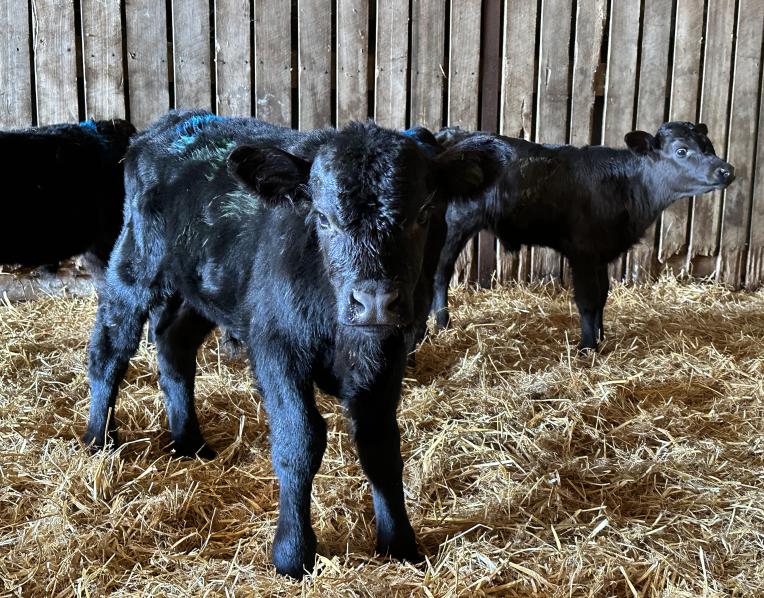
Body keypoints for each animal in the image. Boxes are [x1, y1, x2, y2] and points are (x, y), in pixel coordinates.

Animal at [82, 110, 504, 577]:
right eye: (322, 218)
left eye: (424, 212)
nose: (374, 301)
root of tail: (171, 123)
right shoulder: (276, 346)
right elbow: (299, 441)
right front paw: (293, 553)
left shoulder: (388, 355)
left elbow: (380, 444)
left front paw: (399, 544)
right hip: (135, 264)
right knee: (109, 350)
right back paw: (99, 439)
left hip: (206, 288)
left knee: (174, 345)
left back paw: (189, 442)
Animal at [429, 122, 735, 351]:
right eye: (681, 150)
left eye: (709, 146)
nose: (727, 170)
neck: (625, 186)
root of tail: (451, 134)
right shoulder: (584, 252)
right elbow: (587, 300)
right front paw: (587, 347)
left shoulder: (602, 253)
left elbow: (602, 295)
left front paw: (601, 338)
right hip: (454, 225)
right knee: (441, 274)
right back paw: (442, 323)